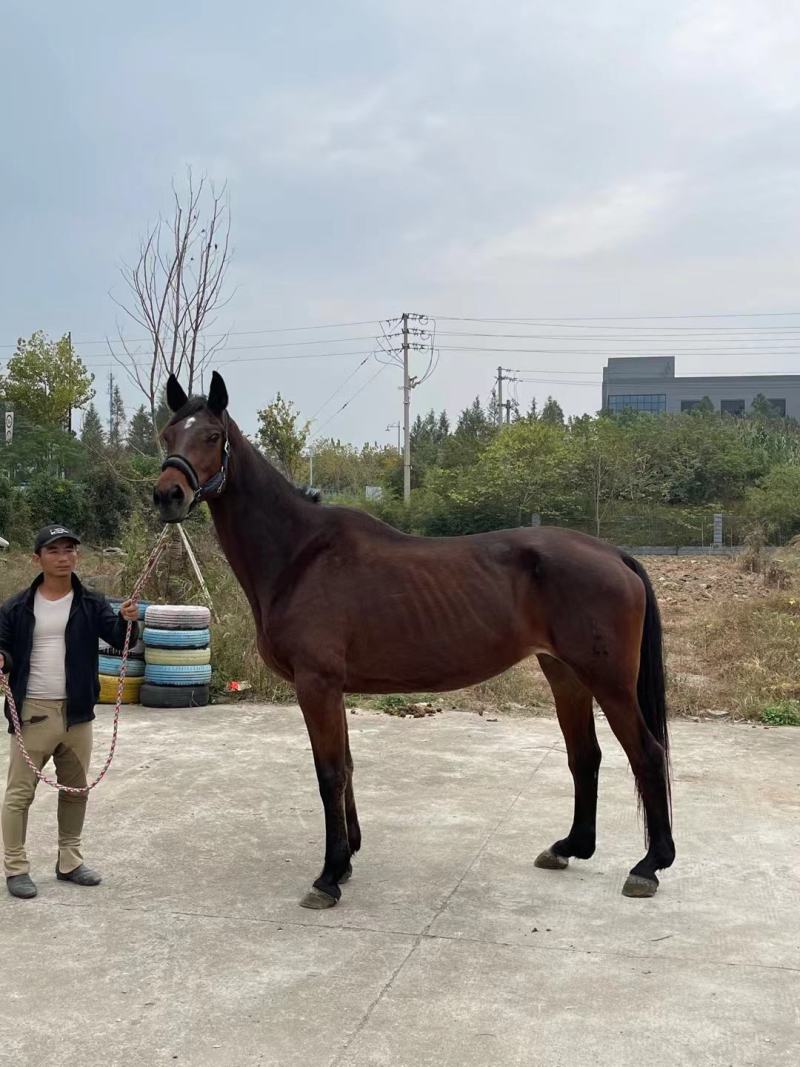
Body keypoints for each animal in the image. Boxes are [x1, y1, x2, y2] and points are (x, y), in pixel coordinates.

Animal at [153, 372, 675, 909]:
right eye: (167, 435)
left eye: (212, 435)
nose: (167, 495)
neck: (300, 555)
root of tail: (615, 554)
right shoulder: (332, 688)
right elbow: (347, 767)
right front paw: (348, 858)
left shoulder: (316, 684)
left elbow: (329, 774)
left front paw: (328, 875)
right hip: (565, 674)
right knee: (584, 756)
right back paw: (570, 847)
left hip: (609, 681)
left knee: (647, 753)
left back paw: (649, 867)